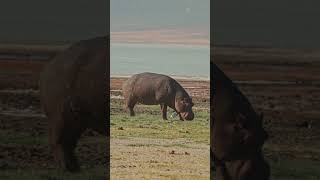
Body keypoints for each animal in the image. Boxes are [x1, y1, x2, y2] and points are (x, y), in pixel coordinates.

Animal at [38, 35, 109, 172]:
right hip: (63, 116)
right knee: (61, 141)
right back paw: (70, 169)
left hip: (77, 119)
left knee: (68, 142)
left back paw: (75, 168)